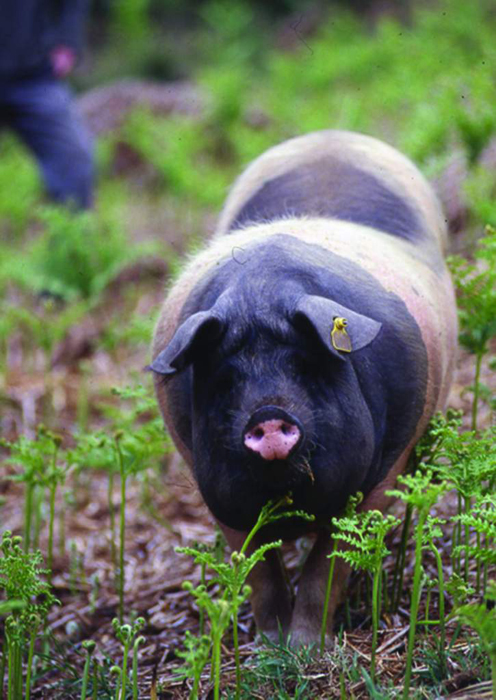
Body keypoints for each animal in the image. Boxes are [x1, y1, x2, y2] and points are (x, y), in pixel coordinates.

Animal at [150, 130, 457, 647]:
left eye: (305, 366)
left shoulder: (380, 477)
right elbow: (259, 572)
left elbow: (327, 570)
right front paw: (272, 644)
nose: (267, 416)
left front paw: (306, 647)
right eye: (226, 379)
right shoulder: (215, 492)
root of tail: (331, 136)